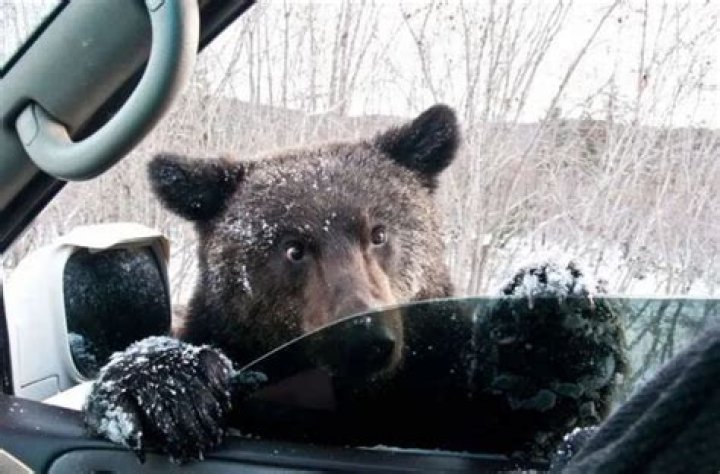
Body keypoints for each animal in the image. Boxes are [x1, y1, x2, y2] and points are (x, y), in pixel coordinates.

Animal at [82, 104, 626, 465]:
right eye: (293, 247)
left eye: (379, 232)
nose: (363, 340)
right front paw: (166, 388)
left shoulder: (440, 394)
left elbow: (527, 422)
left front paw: (554, 318)